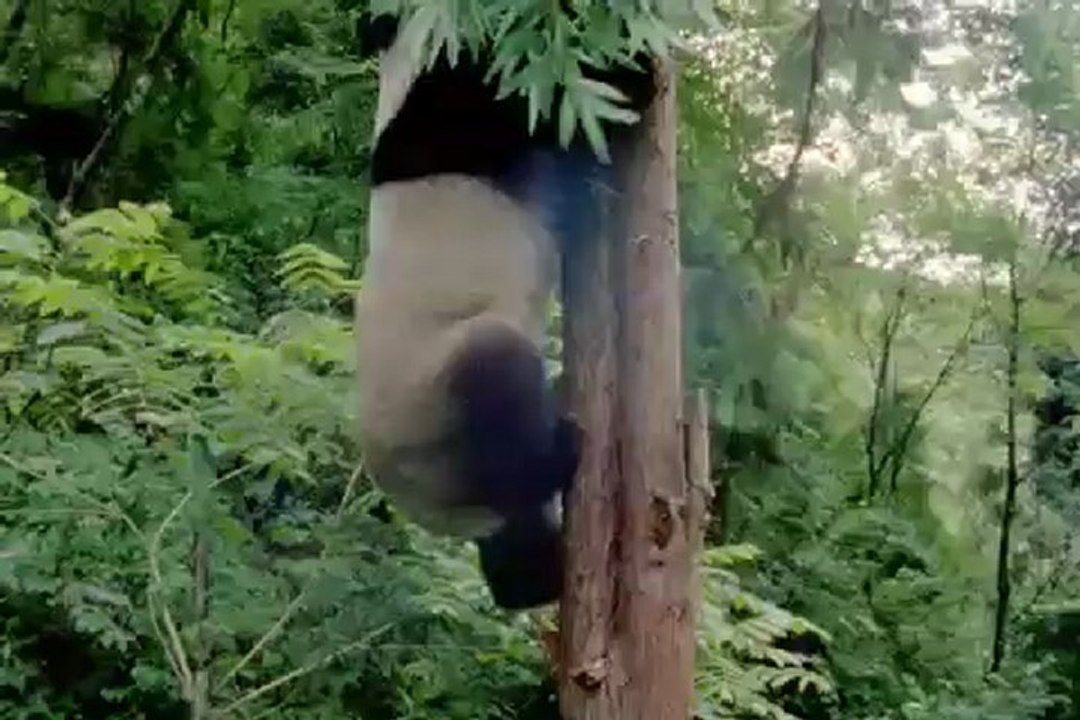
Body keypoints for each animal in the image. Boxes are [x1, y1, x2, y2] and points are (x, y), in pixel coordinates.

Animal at [354, 10, 656, 609]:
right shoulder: (452, 106)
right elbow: (552, 100)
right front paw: (637, 61)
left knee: (515, 546)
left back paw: (533, 579)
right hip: (434, 406)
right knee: (496, 376)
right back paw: (559, 453)